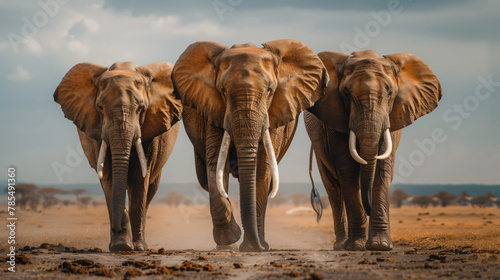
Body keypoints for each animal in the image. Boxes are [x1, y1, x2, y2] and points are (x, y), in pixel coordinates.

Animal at [53, 61, 183, 252]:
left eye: (141, 108)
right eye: (100, 107)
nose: (116, 228)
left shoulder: (151, 128)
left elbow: (139, 179)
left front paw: (137, 247)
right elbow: (110, 177)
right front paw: (120, 246)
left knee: (150, 188)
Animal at [172, 38, 328, 252]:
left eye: (270, 90)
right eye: (223, 91)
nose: (259, 247)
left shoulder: (275, 113)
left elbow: (262, 170)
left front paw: (253, 248)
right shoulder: (213, 110)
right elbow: (216, 167)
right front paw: (230, 242)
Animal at [304, 50, 442, 252]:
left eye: (390, 92)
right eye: (346, 93)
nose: (368, 209)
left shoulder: (393, 119)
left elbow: (383, 170)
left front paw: (380, 245)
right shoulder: (335, 120)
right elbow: (348, 171)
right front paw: (356, 246)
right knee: (334, 188)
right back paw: (341, 245)